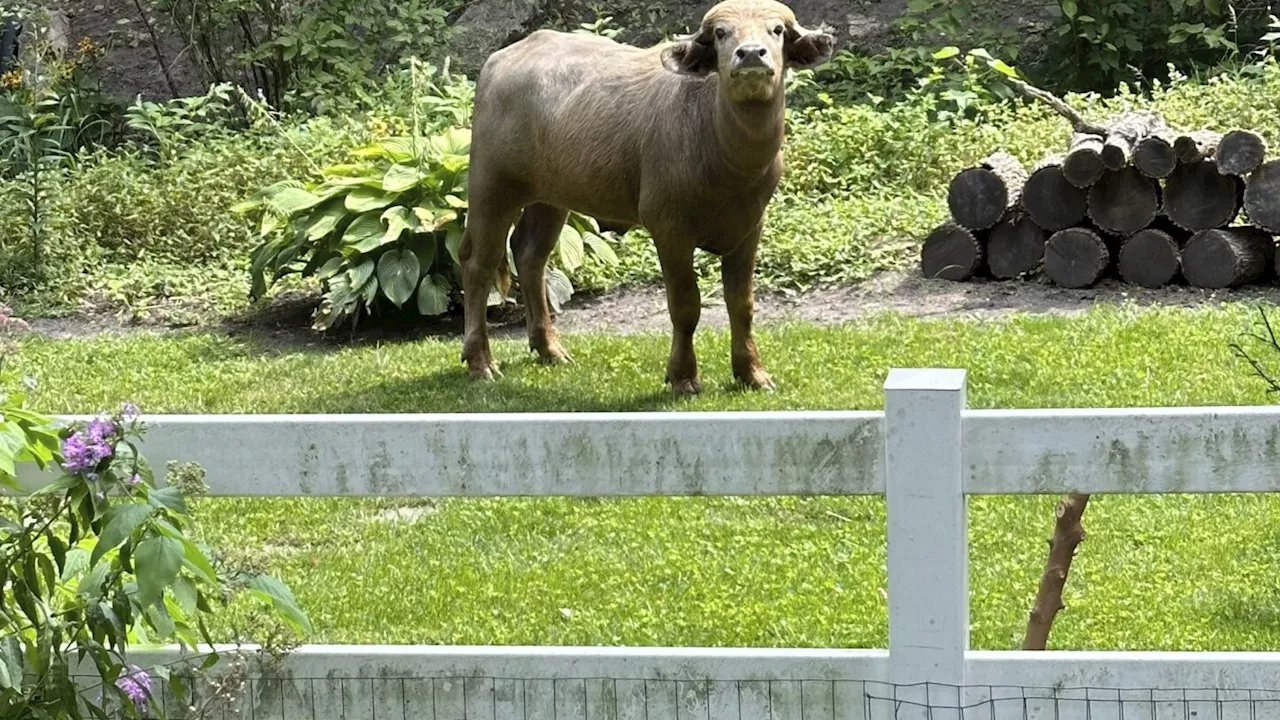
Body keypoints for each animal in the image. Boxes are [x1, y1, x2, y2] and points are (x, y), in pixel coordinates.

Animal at [460, 0, 839, 392]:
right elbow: (685, 306)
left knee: (530, 255)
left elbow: (742, 305)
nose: (750, 54)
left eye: (777, 30)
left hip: (550, 197)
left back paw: (549, 348)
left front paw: (752, 372)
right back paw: (480, 361)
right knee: (478, 263)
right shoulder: (669, 228)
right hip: (492, 186)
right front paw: (683, 376)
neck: (727, 158)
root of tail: (500, 60)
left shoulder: (749, 227)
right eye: (721, 33)